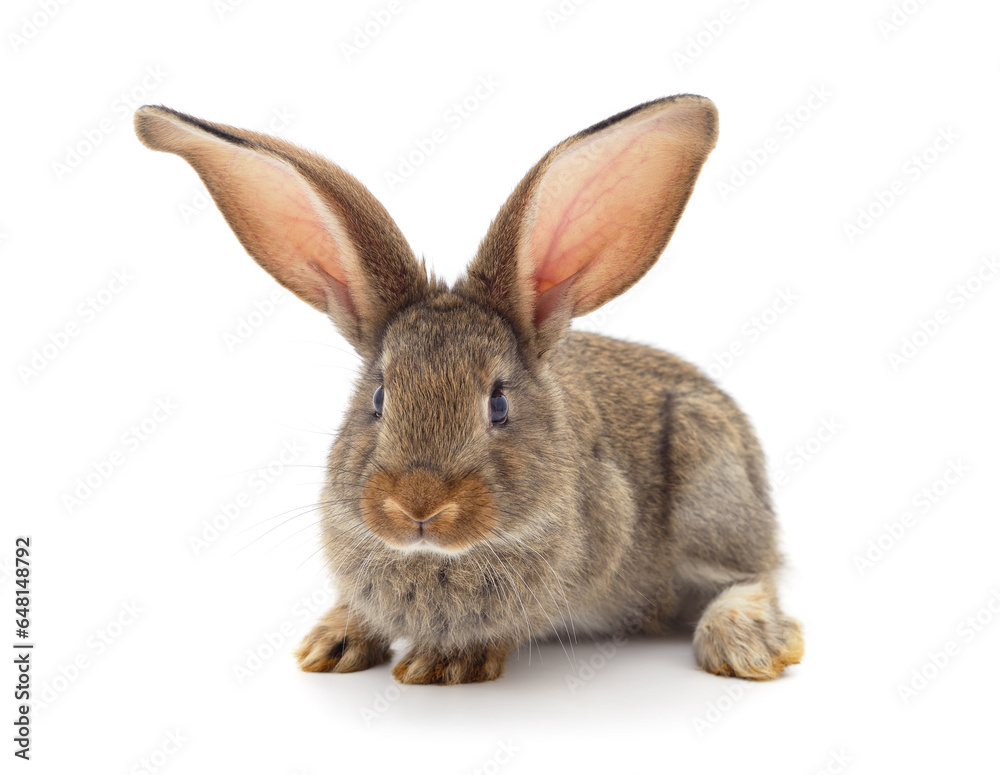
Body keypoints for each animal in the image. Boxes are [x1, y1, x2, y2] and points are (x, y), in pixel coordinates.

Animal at [134, 94, 803, 684]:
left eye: (499, 404)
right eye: (378, 398)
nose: (418, 505)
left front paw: (442, 663)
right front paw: (334, 643)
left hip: (710, 484)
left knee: (753, 572)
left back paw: (744, 644)